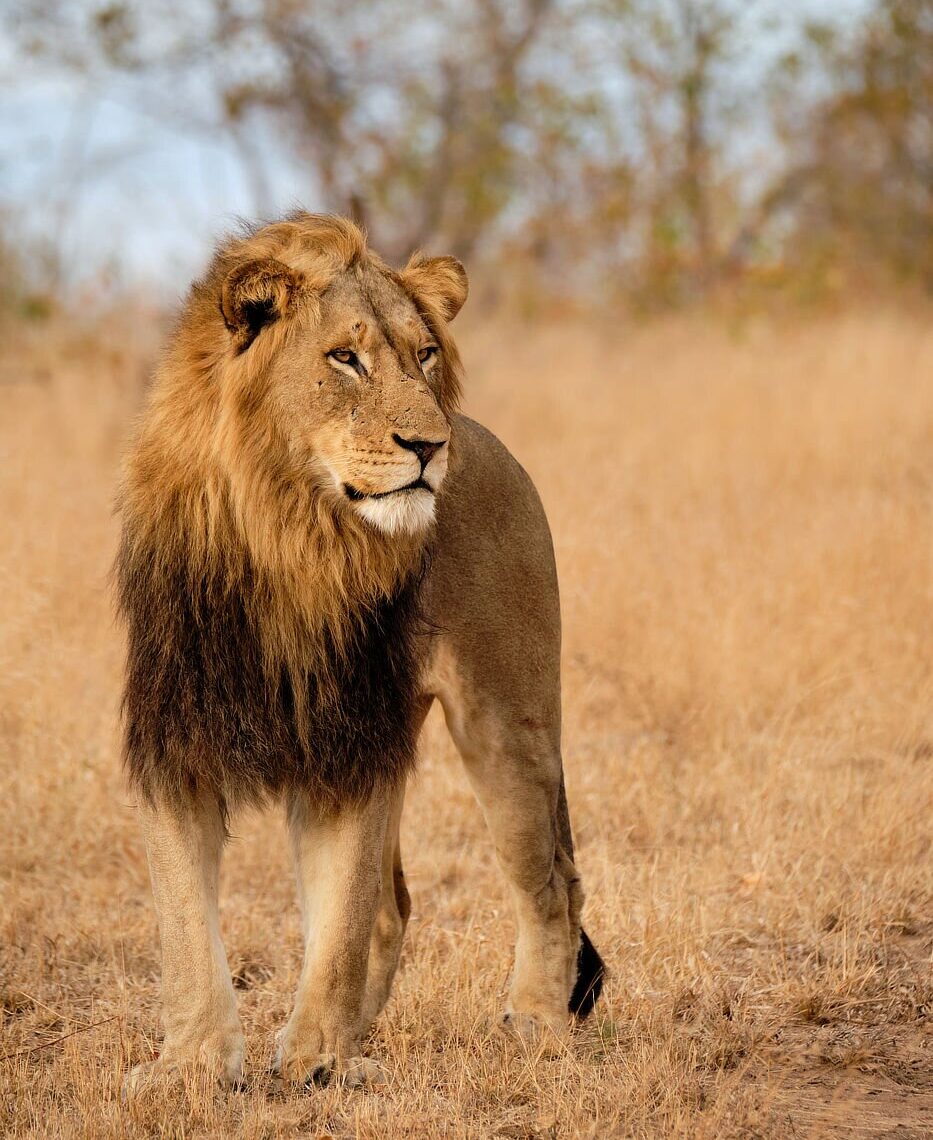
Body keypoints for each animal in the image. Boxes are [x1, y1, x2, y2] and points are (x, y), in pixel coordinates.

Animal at [116, 212, 604, 1090]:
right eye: (344, 357)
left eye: (425, 354)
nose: (428, 446)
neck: (292, 540)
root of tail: (486, 439)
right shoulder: (177, 741)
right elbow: (184, 927)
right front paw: (194, 1065)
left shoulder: (351, 746)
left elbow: (339, 916)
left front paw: (319, 1059)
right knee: (392, 904)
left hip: (506, 724)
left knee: (549, 879)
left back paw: (537, 1023)